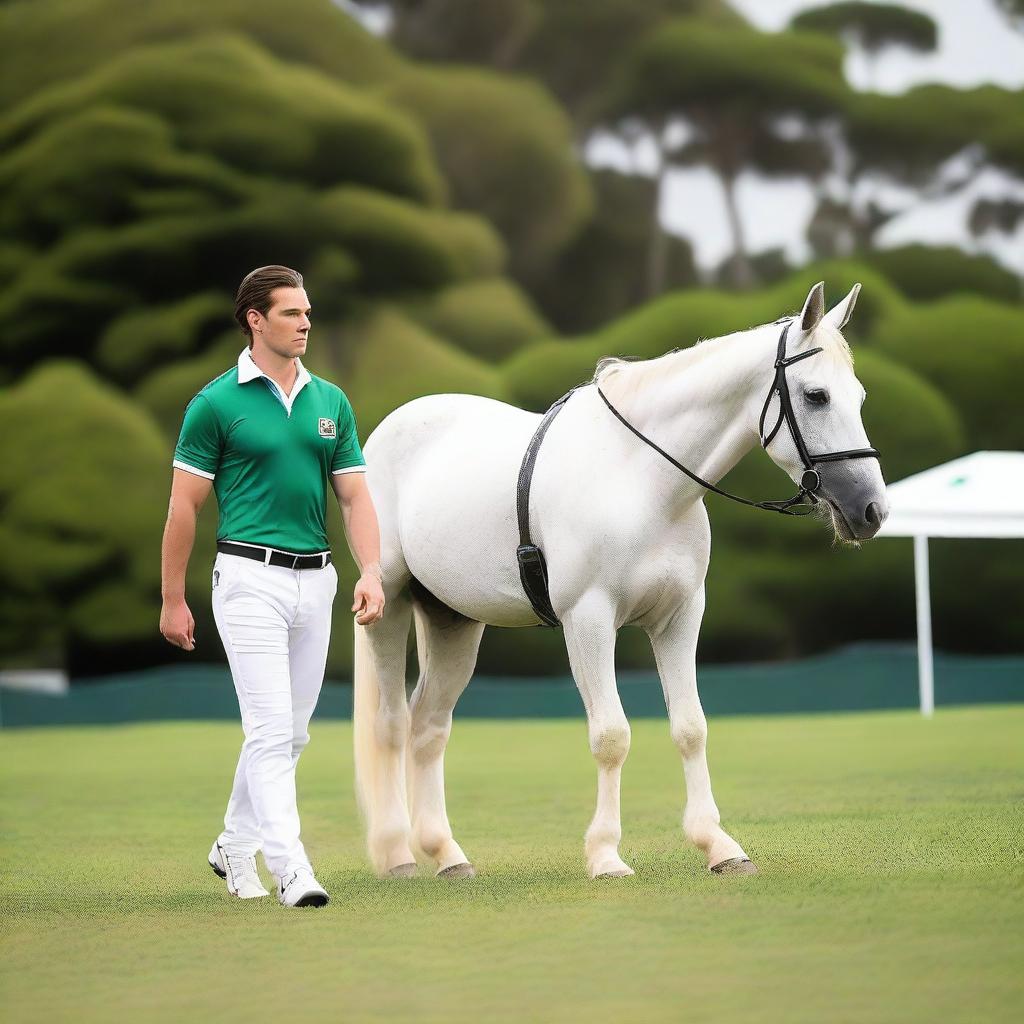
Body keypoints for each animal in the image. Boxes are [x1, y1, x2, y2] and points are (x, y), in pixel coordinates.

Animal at [352, 282, 888, 880]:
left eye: (858, 397)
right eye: (816, 395)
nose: (871, 510)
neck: (642, 481)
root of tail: (385, 432)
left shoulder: (680, 617)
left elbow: (690, 726)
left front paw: (719, 846)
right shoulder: (588, 620)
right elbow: (611, 736)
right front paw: (606, 853)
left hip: (454, 620)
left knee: (428, 726)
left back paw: (447, 854)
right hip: (390, 606)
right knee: (390, 725)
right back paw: (398, 854)